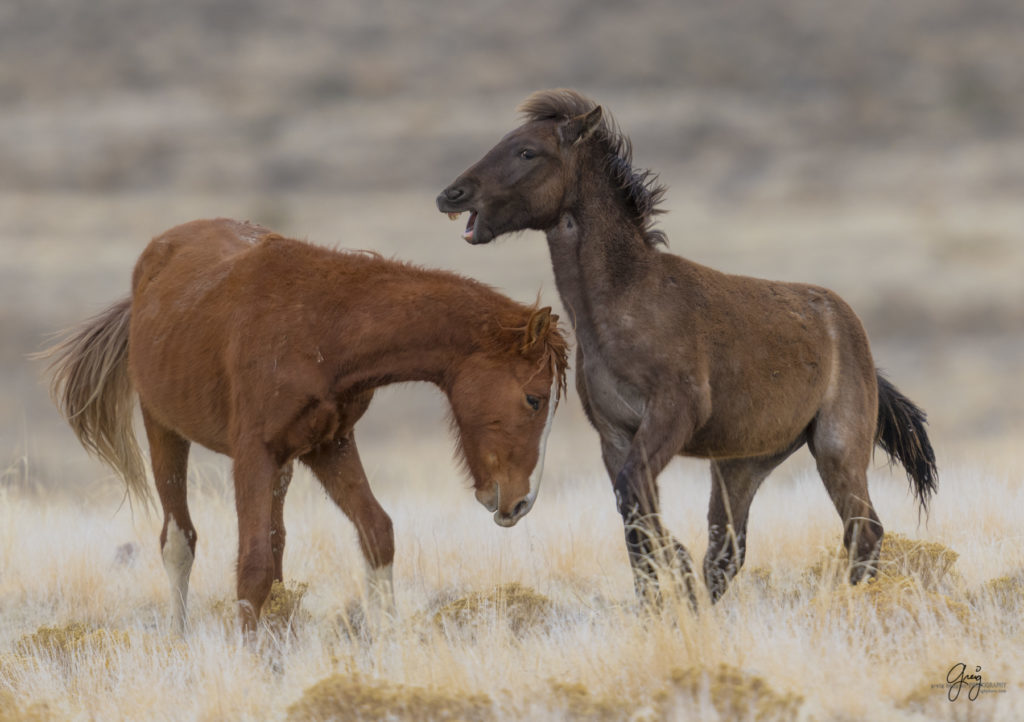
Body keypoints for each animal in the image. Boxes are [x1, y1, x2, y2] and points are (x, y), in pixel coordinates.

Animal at [41, 217, 569, 634]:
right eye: (534, 398)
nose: (520, 502)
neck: (325, 325)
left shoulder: (328, 445)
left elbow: (375, 532)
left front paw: (387, 642)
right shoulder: (254, 453)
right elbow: (252, 565)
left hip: (286, 464)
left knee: (277, 544)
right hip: (165, 430)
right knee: (179, 541)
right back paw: (180, 638)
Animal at [436, 90, 937, 606]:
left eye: (527, 152)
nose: (451, 195)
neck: (627, 303)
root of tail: (847, 324)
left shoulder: (674, 414)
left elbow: (635, 499)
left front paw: (674, 570)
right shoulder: (615, 434)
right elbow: (634, 518)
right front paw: (661, 599)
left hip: (837, 447)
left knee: (863, 530)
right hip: (742, 463)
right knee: (726, 551)